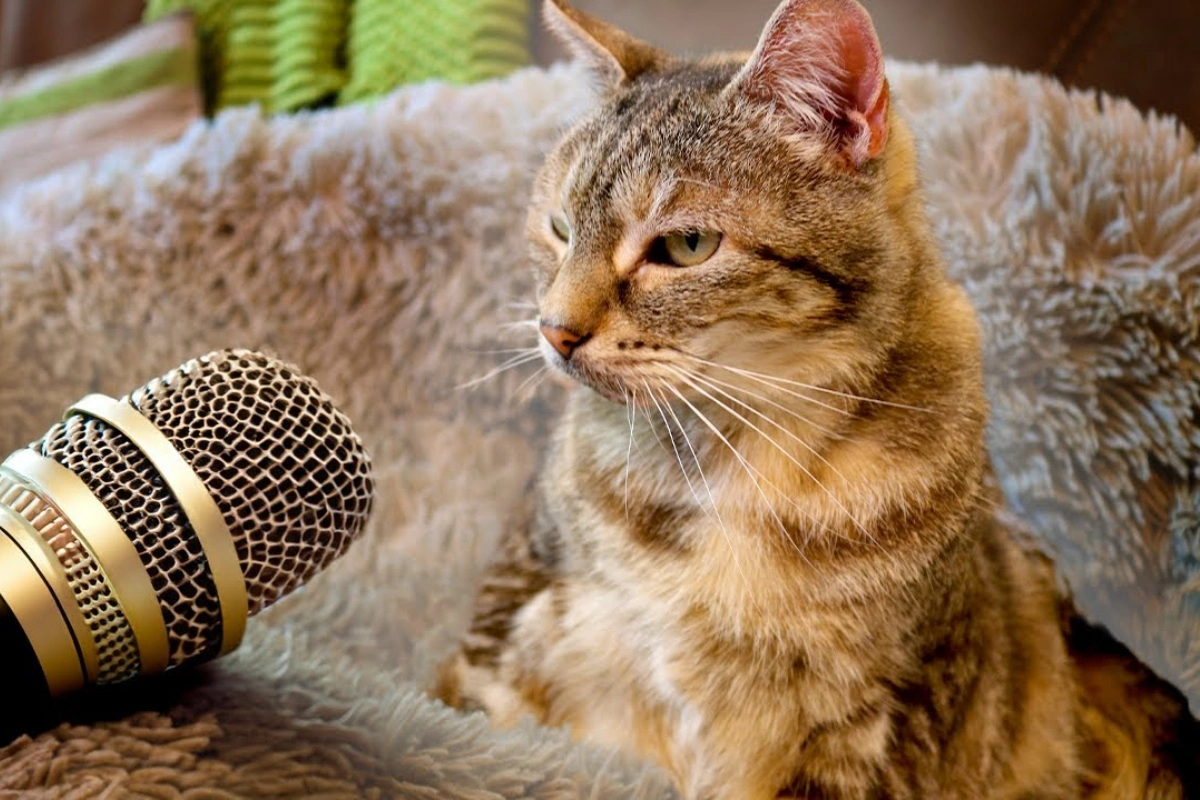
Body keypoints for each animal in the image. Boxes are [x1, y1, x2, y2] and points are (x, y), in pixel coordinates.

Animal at [436, 0, 1195, 796]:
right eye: (559, 229)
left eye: (686, 246)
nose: (554, 331)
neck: (736, 454)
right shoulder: (508, 623)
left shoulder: (885, 718)